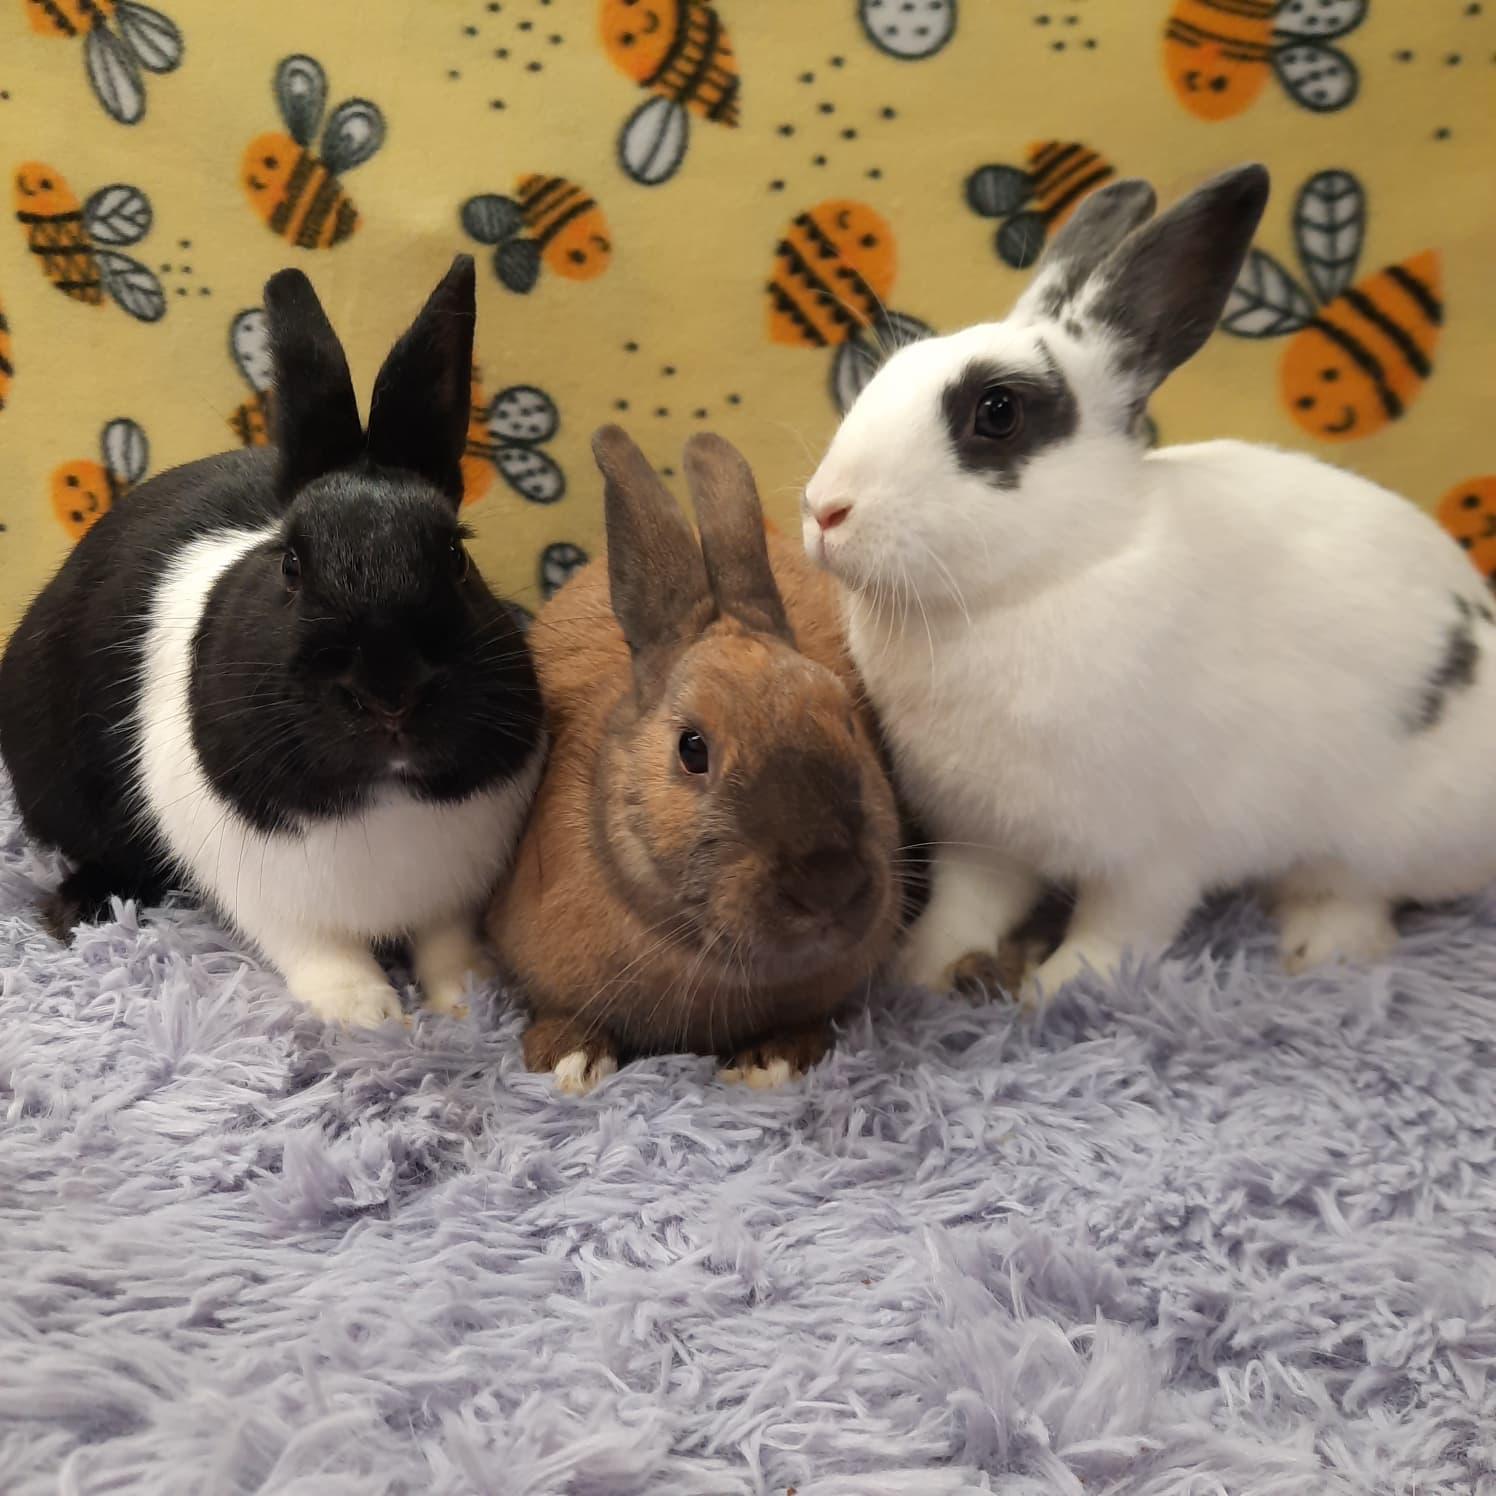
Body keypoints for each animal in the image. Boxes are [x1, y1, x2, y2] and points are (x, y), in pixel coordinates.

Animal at [0, 255, 544, 1027]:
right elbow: (321, 951)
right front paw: (368, 1014)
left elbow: (447, 941)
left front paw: (469, 1001)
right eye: (291, 564)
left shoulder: (457, 888)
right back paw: (80, 908)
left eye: (456, 556)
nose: (390, 694)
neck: (386, 795)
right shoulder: (272, 897)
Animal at [800, 162, 1496, 1001]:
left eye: (997, 412)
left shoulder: (1154, 853)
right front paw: (918, 971)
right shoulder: (981, 834)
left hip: (1386, 832)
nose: (824, 510)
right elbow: (963, 909)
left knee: (1359, 892)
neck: (1044, 581)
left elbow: (1119, 930)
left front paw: (1056, 990)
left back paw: (1318, 949)